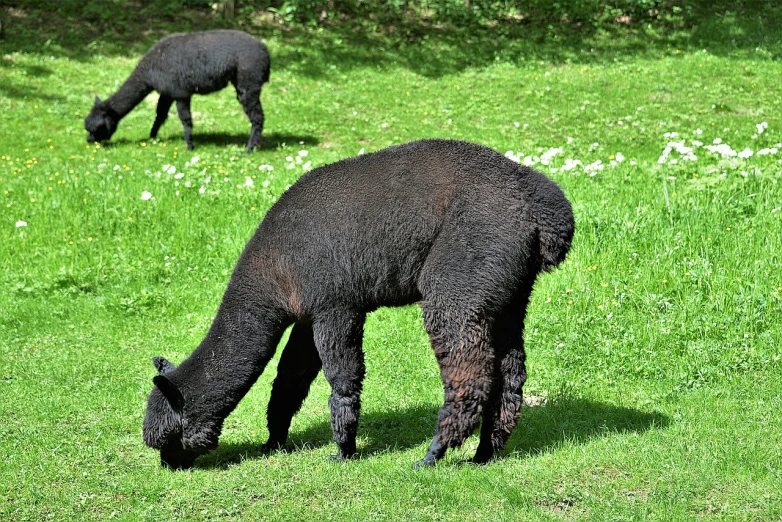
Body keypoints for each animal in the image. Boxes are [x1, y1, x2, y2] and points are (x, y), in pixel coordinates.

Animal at [85, 30, 270, 151]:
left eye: (97, 128)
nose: (89, 140)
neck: (150, 69)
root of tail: (265, 51)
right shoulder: (167, 91)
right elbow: (160, 114)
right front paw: (151, 137)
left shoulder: (180, 91)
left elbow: (185, 119)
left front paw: (189, 146)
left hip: (249, 78)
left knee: (257, 116)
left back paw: (249, 148)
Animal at [145, 137, 576, 468]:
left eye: (169, 436)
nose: (168, 465)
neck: (276, 267)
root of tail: (543, 208)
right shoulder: (308, 313)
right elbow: (290, 378)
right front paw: (273, 442)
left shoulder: (334, 304)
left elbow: (342, 376)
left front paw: (343, 450)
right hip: (509, 295)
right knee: (510, 374)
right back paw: (484, 453)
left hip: (462, 278)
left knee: (469, 373)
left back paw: (432, 454)